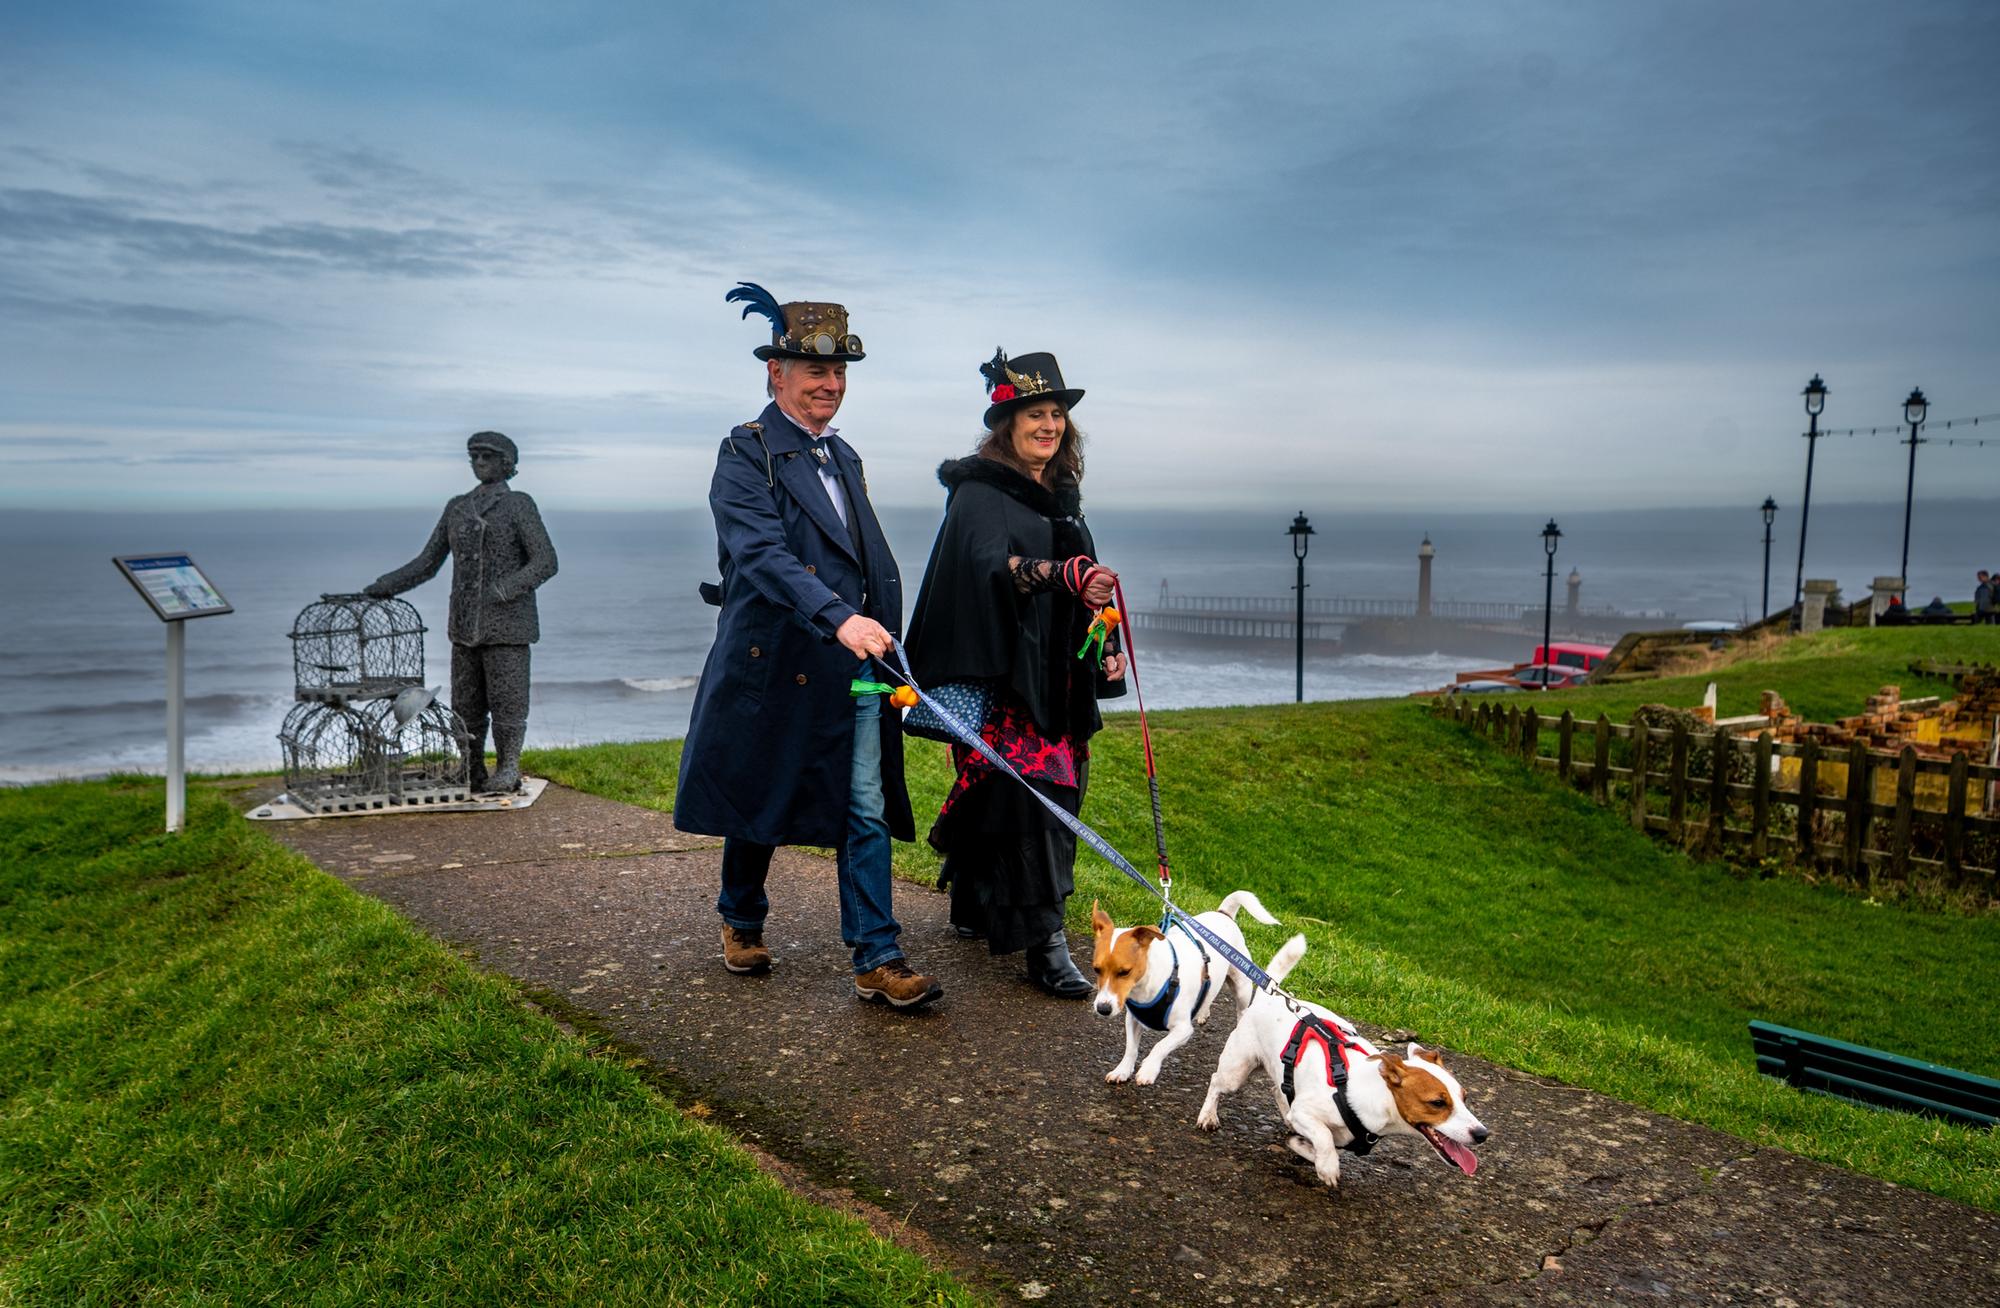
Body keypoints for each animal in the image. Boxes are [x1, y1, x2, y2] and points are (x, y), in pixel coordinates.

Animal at [1096, 896, 1280, 1088]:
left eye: (1125, 972)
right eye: (1096, 970)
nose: (1102, 1009)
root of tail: (1223, 913)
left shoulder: (1183, 1030)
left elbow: (1160, 1045)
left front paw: (1148, 1069)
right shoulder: (1133, 1020)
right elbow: (1131, 1048)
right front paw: (1122, 1071)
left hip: (1242, 986)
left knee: (1241, 1010)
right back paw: (1203, 1013)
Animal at [1184, 936, 1488, 1192]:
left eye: (1464, 1098)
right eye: (1437, 1102)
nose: (1482, 1134)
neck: (1374, 1096)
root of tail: (1269, 998)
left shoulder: (1337, 1134)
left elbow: (1319, 1144)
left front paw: (1309, 1153)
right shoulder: (1309, 1114)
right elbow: (1323, 1138)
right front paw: (1328, 1167)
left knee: (1278, 1091)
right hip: (1236, 1069)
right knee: (1217, 1082)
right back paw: (1208, 1115)